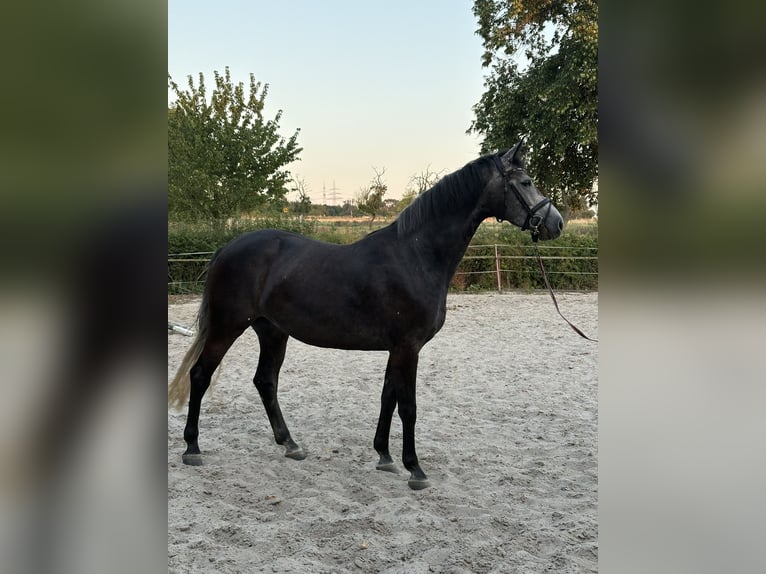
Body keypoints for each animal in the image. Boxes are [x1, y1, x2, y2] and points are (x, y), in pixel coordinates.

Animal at [168, 140, 563, 489]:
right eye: (526, 182)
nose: (556, 223)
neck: (416, 255)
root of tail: (227, 248)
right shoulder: (408, 347)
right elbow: (408, 406)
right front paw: (415, 469)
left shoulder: (397, 348)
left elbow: (388, 396)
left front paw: (384, 457)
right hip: (228, 326)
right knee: (200, 375)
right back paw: (192, 448)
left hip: (272, 331)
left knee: (265, 381)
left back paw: (290, 444)